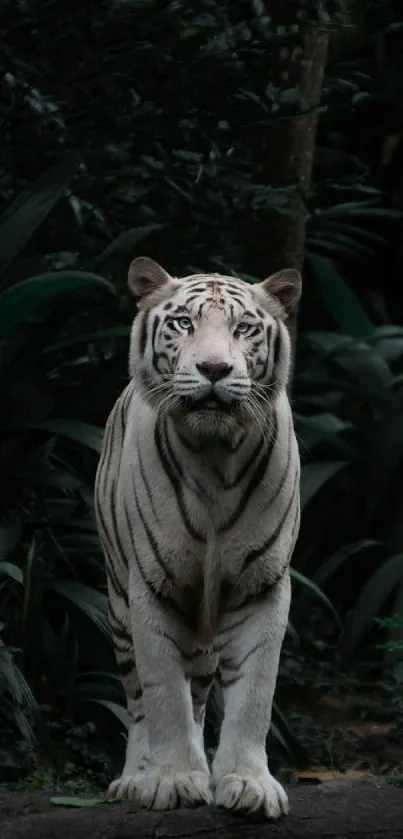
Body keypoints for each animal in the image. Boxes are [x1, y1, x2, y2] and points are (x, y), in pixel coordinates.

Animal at [94, 258, 302, 820]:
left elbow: (254, 693)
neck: (214, 457)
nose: (214, 369)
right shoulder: (152, 586)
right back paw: (135, 778)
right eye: (184, 323)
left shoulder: (261, 586)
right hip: (118, 603)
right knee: (138, 699)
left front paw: (248, 784)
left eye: (244, 328)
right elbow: (163, 692)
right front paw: (171, 780)